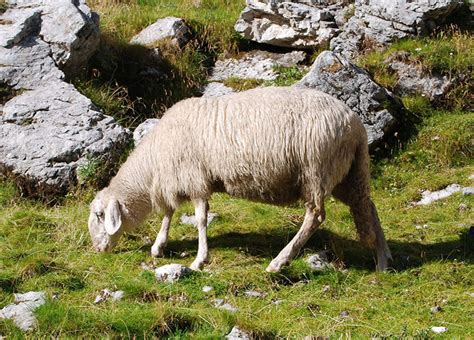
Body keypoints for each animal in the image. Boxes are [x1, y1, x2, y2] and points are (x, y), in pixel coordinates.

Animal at [87, 86, 390, 272]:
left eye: (100, 216)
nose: (98, 249)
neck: (152, 165)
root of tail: (355, 125)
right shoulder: (177, 179)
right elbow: (168, 214)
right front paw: (158, 246)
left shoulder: (195, 179)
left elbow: (199, 219)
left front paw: (199, 260)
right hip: (348, 173)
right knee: (368, 206)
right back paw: (384, 262)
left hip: (316, 169)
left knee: (315, 216)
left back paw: (279, 261)